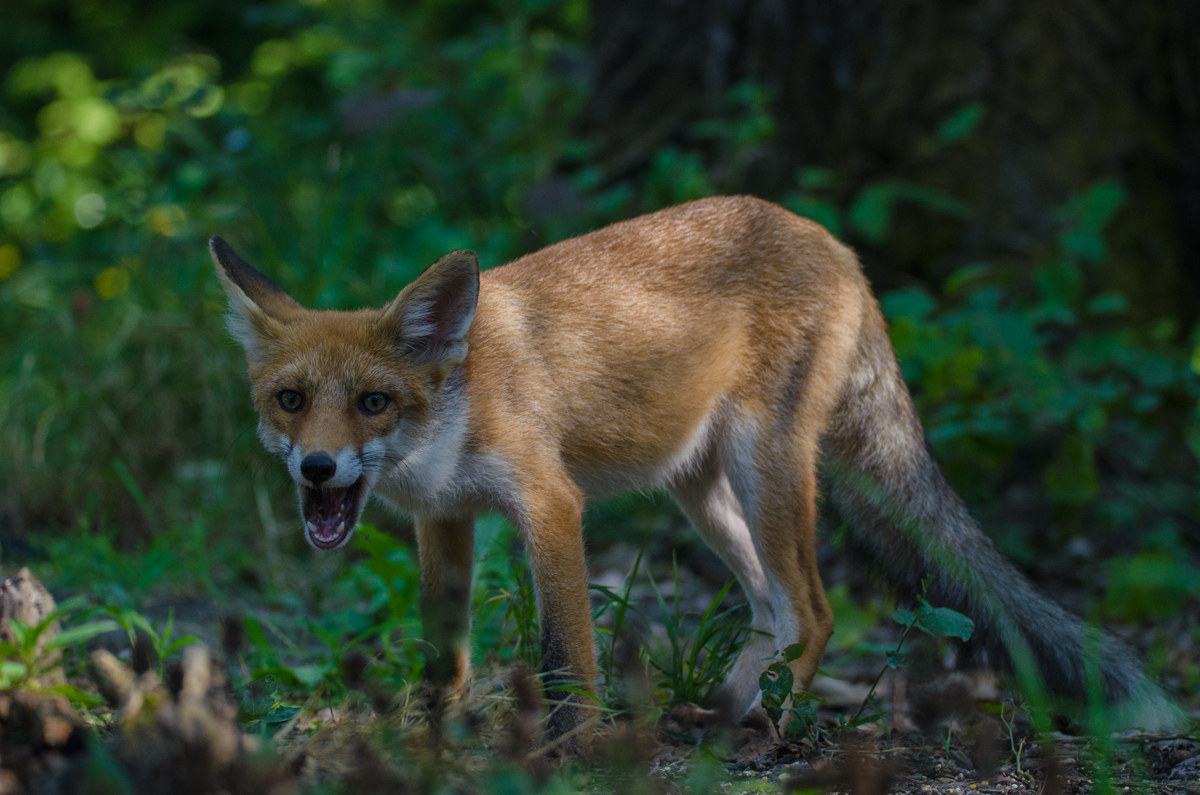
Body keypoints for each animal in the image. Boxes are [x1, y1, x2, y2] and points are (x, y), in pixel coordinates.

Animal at [210, 195, 1171, 747]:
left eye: (373, 401)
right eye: (291, 399)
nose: (319, 465)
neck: (454, 412)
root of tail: (830, 239)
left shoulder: (548, 503)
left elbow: (567, 654)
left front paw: (571, 749)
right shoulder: (443, 519)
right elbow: (444, 651)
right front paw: (430, 734)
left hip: (763, 465)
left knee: (813, 610)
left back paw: (769, 730)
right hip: (699, 490)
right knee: (770, 611)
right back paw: (723, 710)